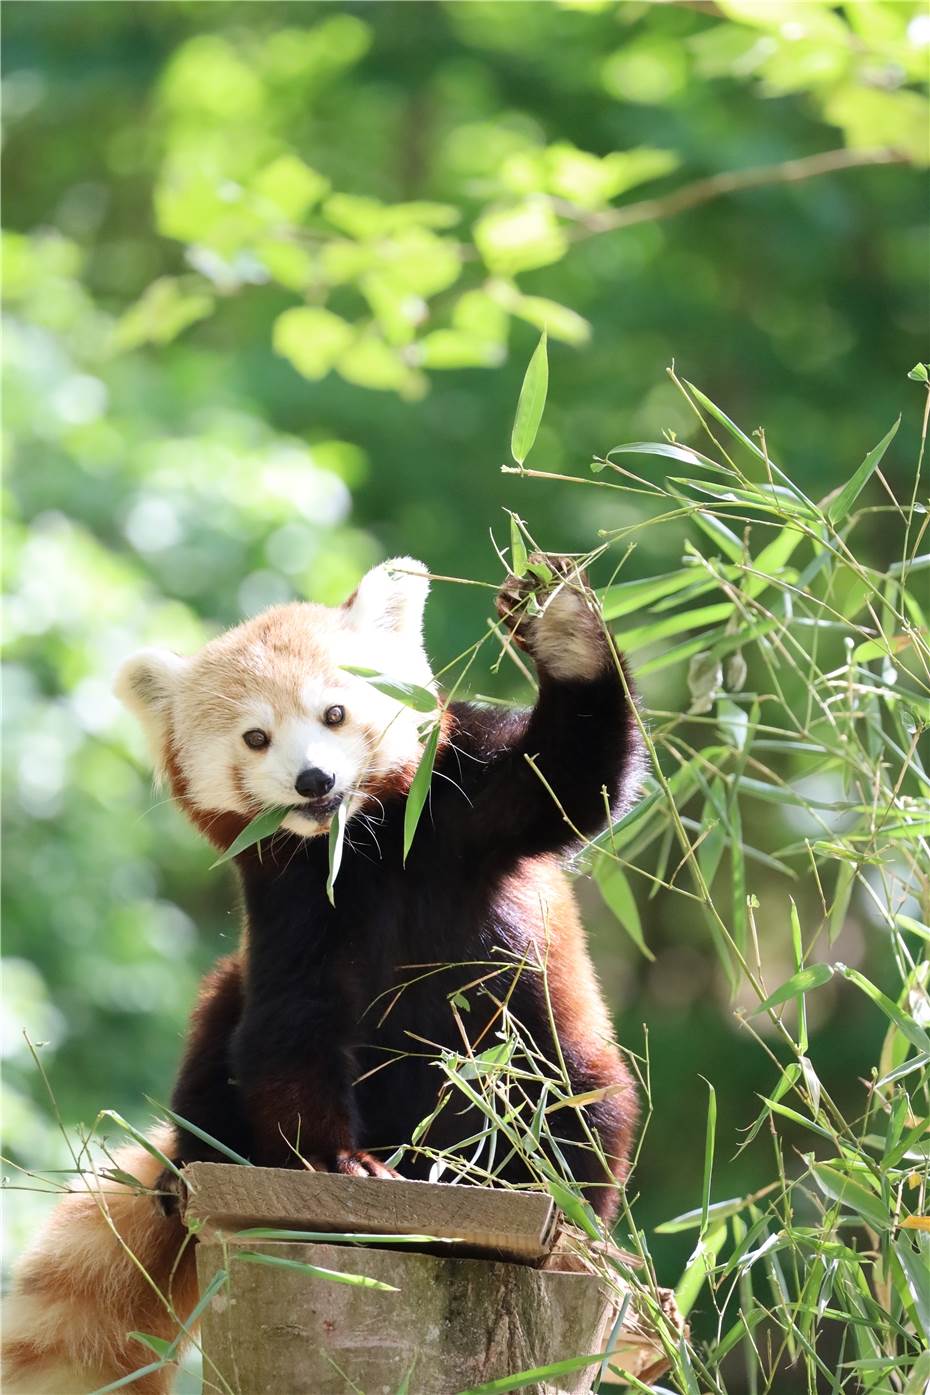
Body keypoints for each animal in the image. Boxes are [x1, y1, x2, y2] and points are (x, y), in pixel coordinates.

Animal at [1, 555, 641, 1395]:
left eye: (335, 713)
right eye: (256, 736)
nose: (312, 780)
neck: (362, 845)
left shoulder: (461, 799)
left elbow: (573, 780)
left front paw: (567, 630)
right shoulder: (291, 902)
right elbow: (289, 1033)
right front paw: (337, 1161)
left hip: (549, 1059)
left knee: (580, 1100)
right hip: (224, 1009)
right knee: (220, 1026)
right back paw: (187, 1167)